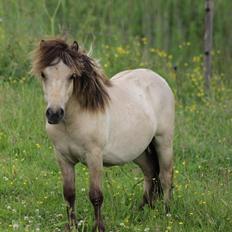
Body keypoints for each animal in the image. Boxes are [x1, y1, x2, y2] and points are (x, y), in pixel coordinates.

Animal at [31, 39, 175, 231]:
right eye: (43, 74)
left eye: (72, 76)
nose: (54, 114)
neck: (73, 121)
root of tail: (157, 78)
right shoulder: (63, 157)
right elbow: (69, 194)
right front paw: (72, 226)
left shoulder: (94, 157)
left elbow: (96, 195)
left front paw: (99, 227)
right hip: (139, 150)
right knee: (150, 172)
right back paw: (142, 210)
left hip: (163, 142)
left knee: (165, 177)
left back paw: (166, 214)